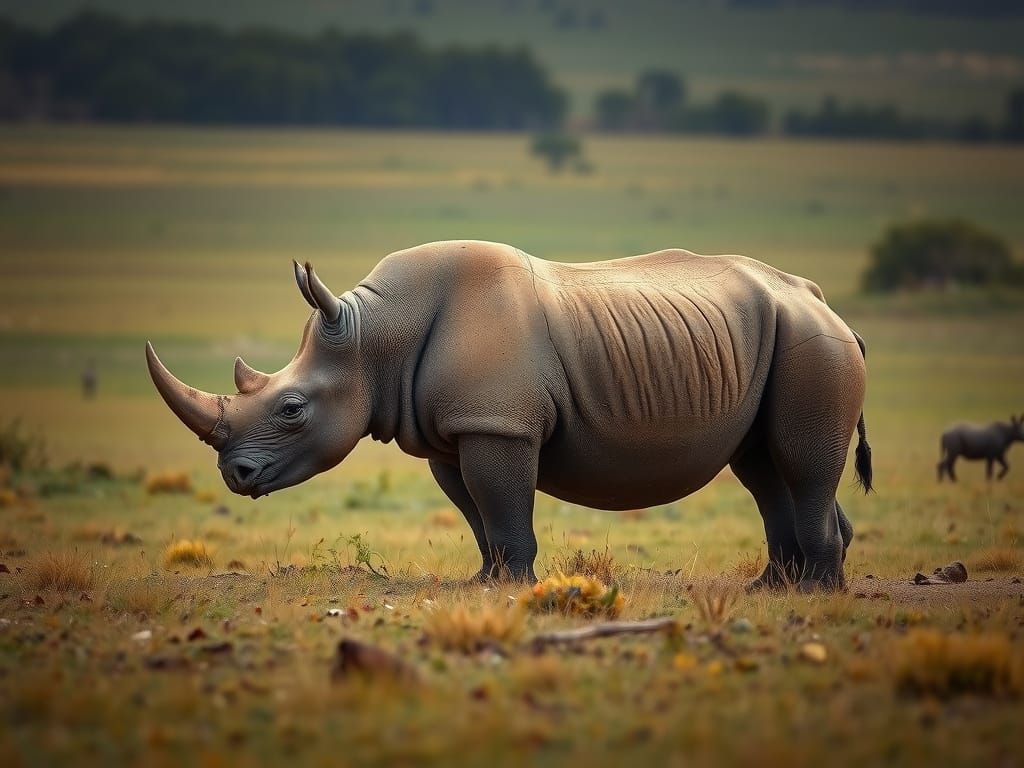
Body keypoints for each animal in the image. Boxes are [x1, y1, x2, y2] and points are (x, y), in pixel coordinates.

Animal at [146, 241, 872, 591]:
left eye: (292, 408)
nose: (236, 475)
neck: (376, 335)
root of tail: (824, 301)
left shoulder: (497, 422)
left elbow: (501, 500)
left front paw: (514, 584)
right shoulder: (452, 430)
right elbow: (476, 512)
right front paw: (486, 579)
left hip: (811, 342)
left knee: (799, 462)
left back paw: (814, 593)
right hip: (780, 338)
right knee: (763, 466)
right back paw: (774, 589)